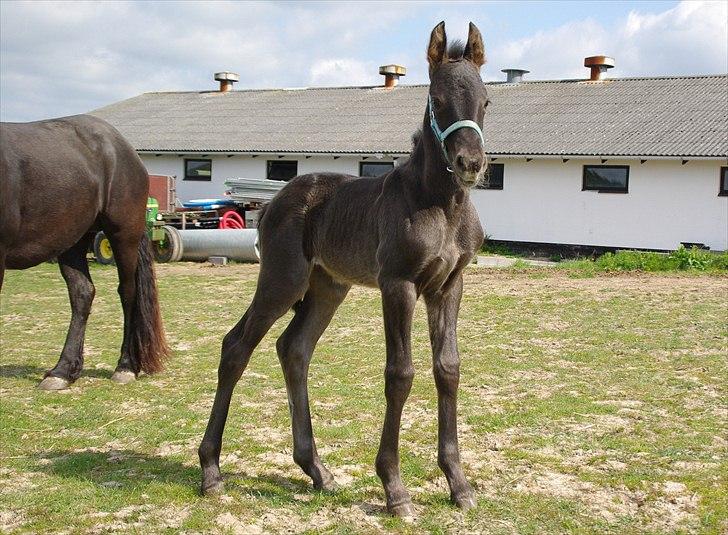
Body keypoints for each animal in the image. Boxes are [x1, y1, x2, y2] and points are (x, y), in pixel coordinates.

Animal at [0, 114, 168, 390]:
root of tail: (122, 145)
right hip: (72, 240)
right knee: (82, 293)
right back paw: (63, 371)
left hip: (123, 234)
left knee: (128, 293)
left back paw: (125, 366)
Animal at [199, 22, 490, 520]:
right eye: (436, 99)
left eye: (486, 100)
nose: (470, 163)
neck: (440, 204)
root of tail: (273, 200)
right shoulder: (398, 285)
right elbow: (400, 374)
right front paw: (395, 490)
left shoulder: (449, 286)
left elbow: (448, 369)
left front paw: (459, 484)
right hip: (282, 280)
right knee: (237, 346)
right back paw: (211, 471)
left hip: (327, 288)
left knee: (294, 349)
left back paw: (317, 470)